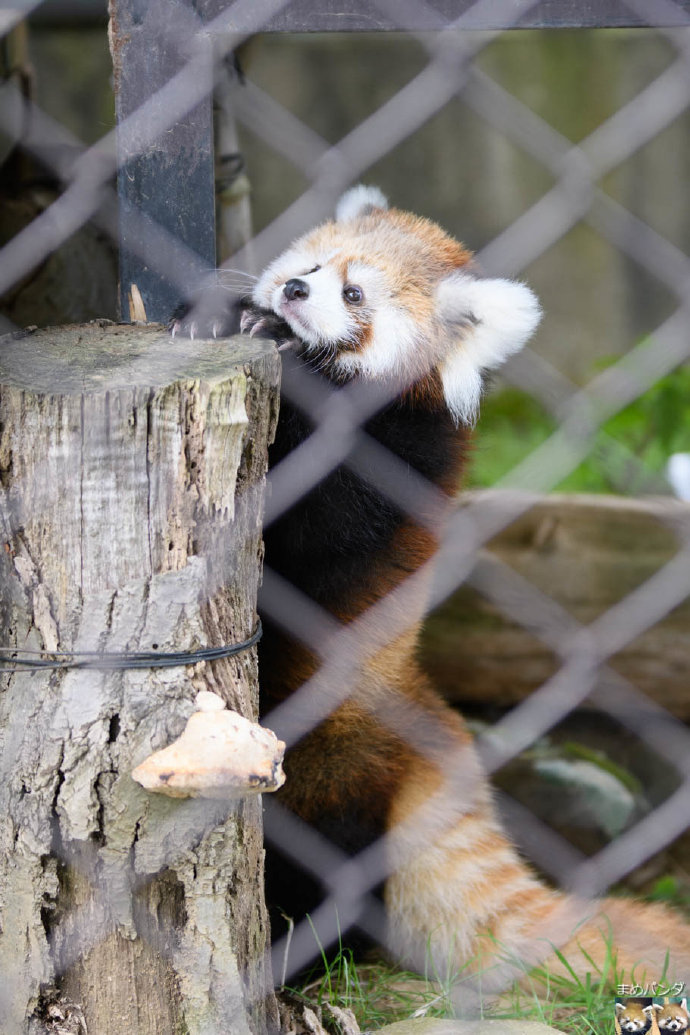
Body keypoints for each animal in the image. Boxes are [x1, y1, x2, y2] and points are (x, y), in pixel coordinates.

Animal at [172, 188, 690, 993]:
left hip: (327, 762)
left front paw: (272, 340)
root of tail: (426, 724)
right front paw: (218, 314)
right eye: (308, 265)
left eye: (355, 293)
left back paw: (294, 953)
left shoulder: (398, 466)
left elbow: (321, 516)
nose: (293, 293)